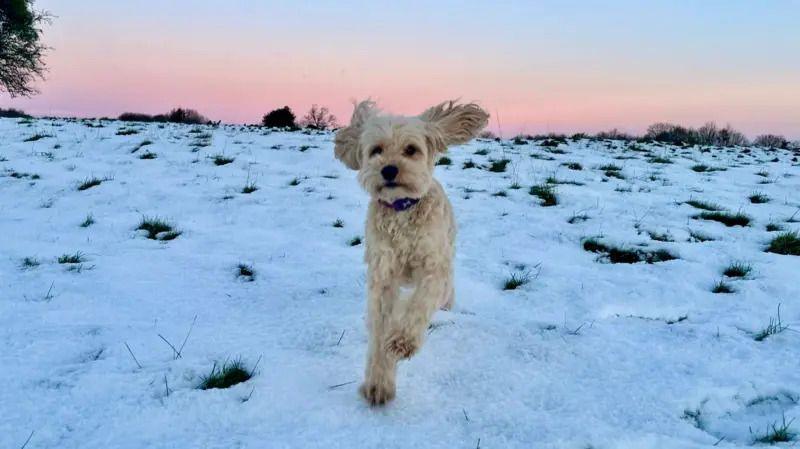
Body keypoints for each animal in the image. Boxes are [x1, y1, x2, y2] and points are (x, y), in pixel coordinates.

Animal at [332, 100, 488, 404]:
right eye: (376, 150)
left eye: (411, 149)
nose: (389, 170)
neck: (401, 210)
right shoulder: (383, 275)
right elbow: (380, 329)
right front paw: (379, 383)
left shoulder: (434, 269)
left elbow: (419, 305)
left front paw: (403, 341)